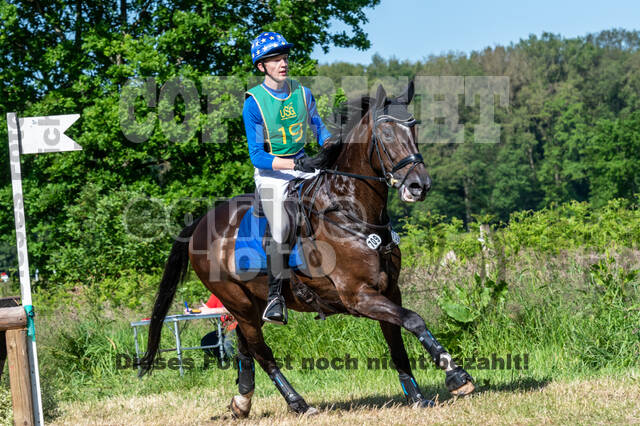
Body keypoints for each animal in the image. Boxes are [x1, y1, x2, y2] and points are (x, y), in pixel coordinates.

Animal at [138, 81, 475, 418]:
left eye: (414, 128)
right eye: (387, 133)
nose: (420, 185)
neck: (350, 212)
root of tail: (199, 224)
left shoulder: (389, 290)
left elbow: (397, 342)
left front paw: (417, 396)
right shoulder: (359, 296)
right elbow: (414, 320)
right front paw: (456, 374)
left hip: (249, 302)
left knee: (245, 345)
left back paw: (242, 402)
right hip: (237, 301)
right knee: (261, 351)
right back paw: (297, 402)